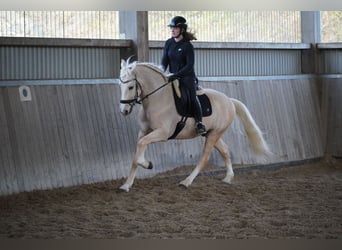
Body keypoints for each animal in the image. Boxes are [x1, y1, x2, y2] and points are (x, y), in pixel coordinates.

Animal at [117, 58, 270, 191]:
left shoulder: (162, 133)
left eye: (130, 87)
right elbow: (137, 153)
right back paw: (228, 178)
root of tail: (229, 101)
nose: (124, 111)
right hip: (212, 133)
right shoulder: (144, 131)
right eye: (120, 85)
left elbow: (141, 146)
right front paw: (126, 185)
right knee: (225, 150)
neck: (158, 98)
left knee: (205, 158)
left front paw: (147, 164)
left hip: (214, 134)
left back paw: (186, 182)